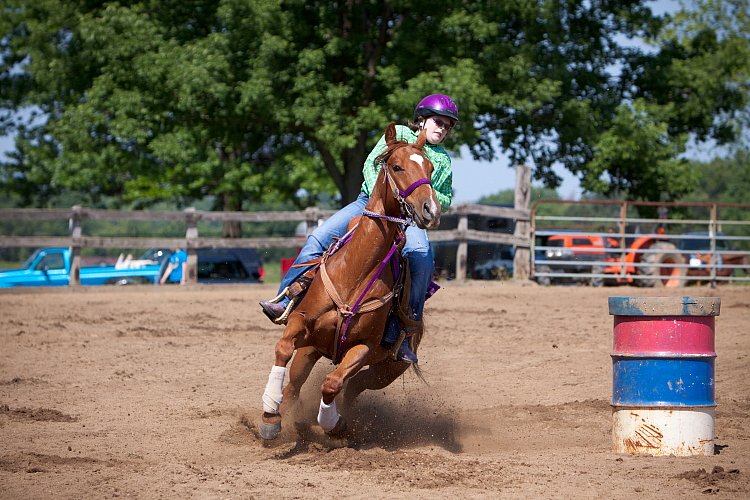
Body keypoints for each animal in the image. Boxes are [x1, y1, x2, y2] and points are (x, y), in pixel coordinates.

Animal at [262, 123, 444, 440]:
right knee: (295, 385)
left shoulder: (363, 348)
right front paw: (270, 414)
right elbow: (283, 348)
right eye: (396, 166)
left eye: (431, 168)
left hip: (386, 371)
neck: (355, 272)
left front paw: (333, 424)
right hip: (311, 351)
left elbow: (332, 383)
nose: (430, 211)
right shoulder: (301, 322)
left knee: (351, 388)